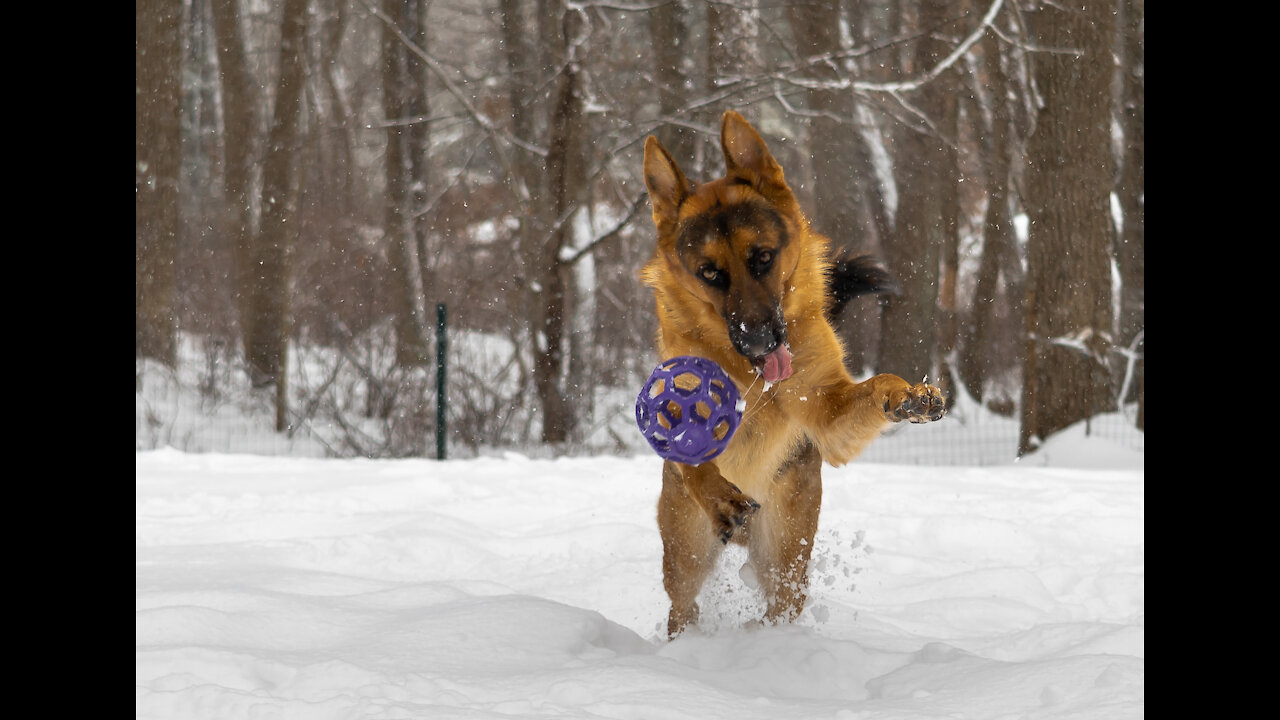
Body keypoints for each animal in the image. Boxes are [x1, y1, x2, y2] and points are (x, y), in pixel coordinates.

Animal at [645, 110, 947, 632]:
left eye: (763, 257)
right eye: (709, 273)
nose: (760, 341)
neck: (753, 378)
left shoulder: (826, 411)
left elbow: (876, 385)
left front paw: (908, 395)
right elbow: (695, 455)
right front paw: (718, 493)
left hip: (786, 550)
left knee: (779, 604)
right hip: (685, 554)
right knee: (684, 606)